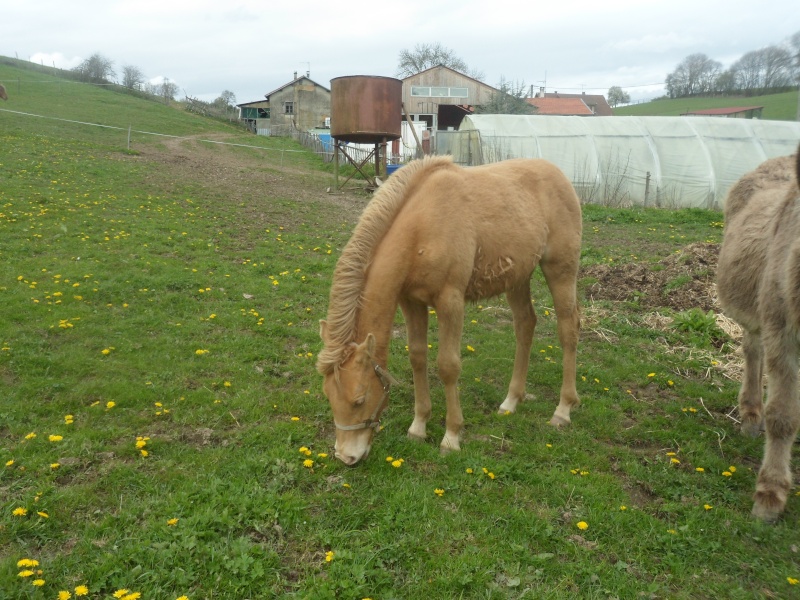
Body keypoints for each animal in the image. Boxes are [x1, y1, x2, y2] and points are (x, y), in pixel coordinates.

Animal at [318, 155, 580, 464]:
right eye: (328, 395)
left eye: (359, 399)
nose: (346, 457)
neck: (421, 227)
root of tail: (559, 174)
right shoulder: (411, 301)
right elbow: (418, 358)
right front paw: (418, 427)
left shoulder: (450, 301)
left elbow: (448, 366)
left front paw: (451, 436)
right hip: (517, 277)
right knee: (525, 325)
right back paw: (511, 401)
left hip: (560, 270)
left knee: (568, 329)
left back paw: (563, 410)